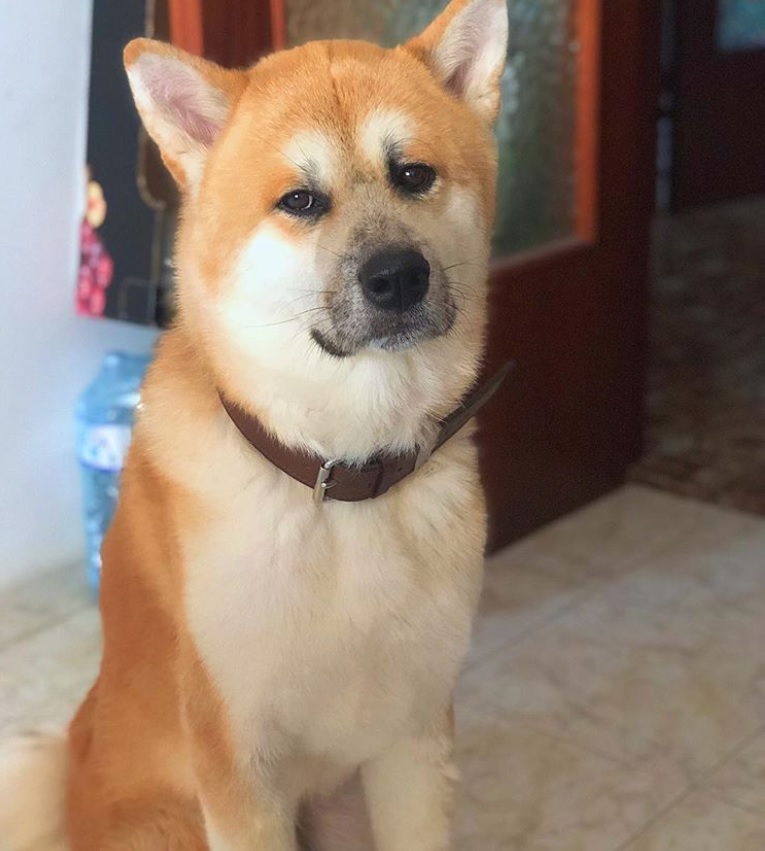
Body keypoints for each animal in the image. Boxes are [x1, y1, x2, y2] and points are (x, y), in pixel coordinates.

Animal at [0, 3, 510, 848]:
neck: (342, 475)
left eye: (413, 175)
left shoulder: (413, 736)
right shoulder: (236, 764)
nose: (398, 276)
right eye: (299, 200)